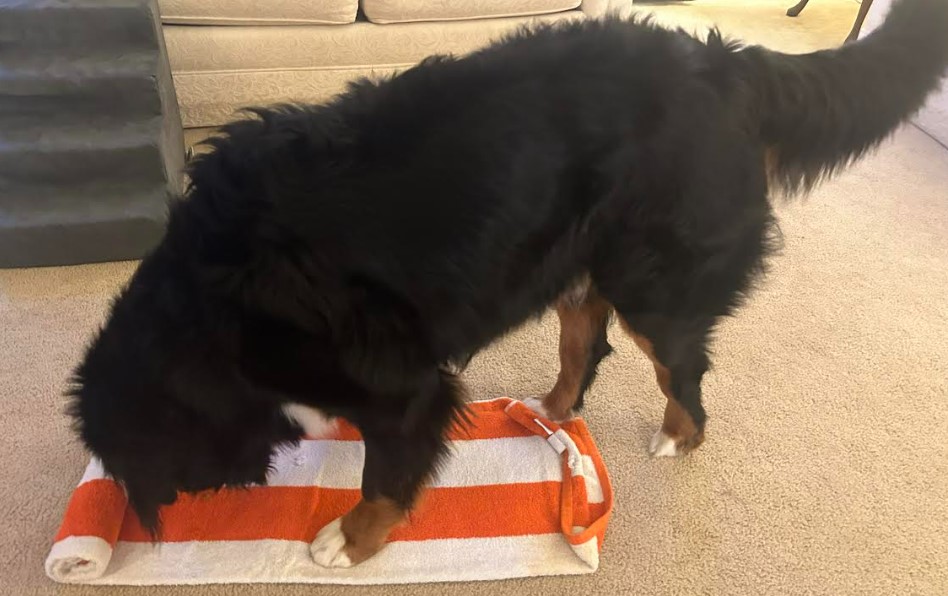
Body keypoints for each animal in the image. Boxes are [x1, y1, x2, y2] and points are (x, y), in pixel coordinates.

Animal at [68, 0, 948, 568]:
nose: (192, 502)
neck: (210, 317)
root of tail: (726, 63)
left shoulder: (407, 388)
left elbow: (387, 475)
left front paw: (348, 541)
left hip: (656, 284)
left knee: (683, 373)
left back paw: (675, 435)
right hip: (574, 264)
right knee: (583, 350)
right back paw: (548, 412)